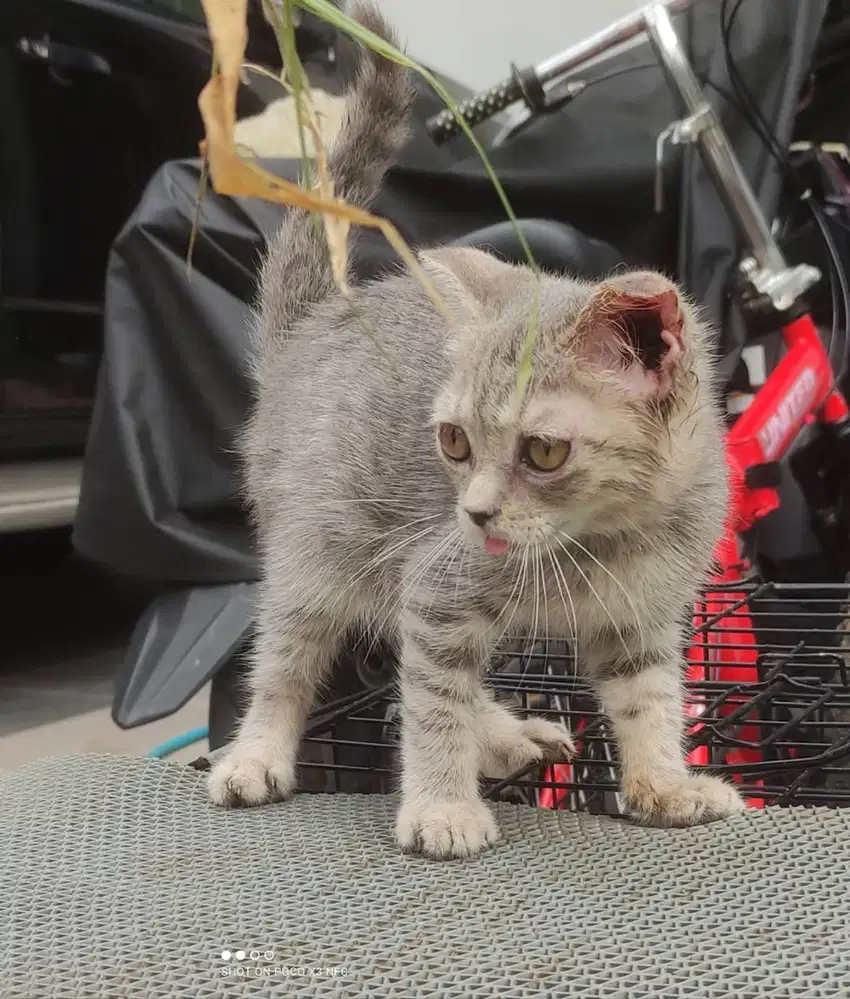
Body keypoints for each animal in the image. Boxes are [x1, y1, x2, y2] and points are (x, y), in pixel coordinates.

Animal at [210, 1, 744, 860]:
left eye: (544, 450)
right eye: (454, 441)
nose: (476, 511)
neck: (608, 538)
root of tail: (315, 322)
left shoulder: (639, 617)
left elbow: (649, 699)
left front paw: (665, 783)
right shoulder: (440, 581)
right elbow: (434, 706)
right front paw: (441, 804)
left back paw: (508, 732)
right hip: (317, 551)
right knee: (293, 658)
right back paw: (257, 752)